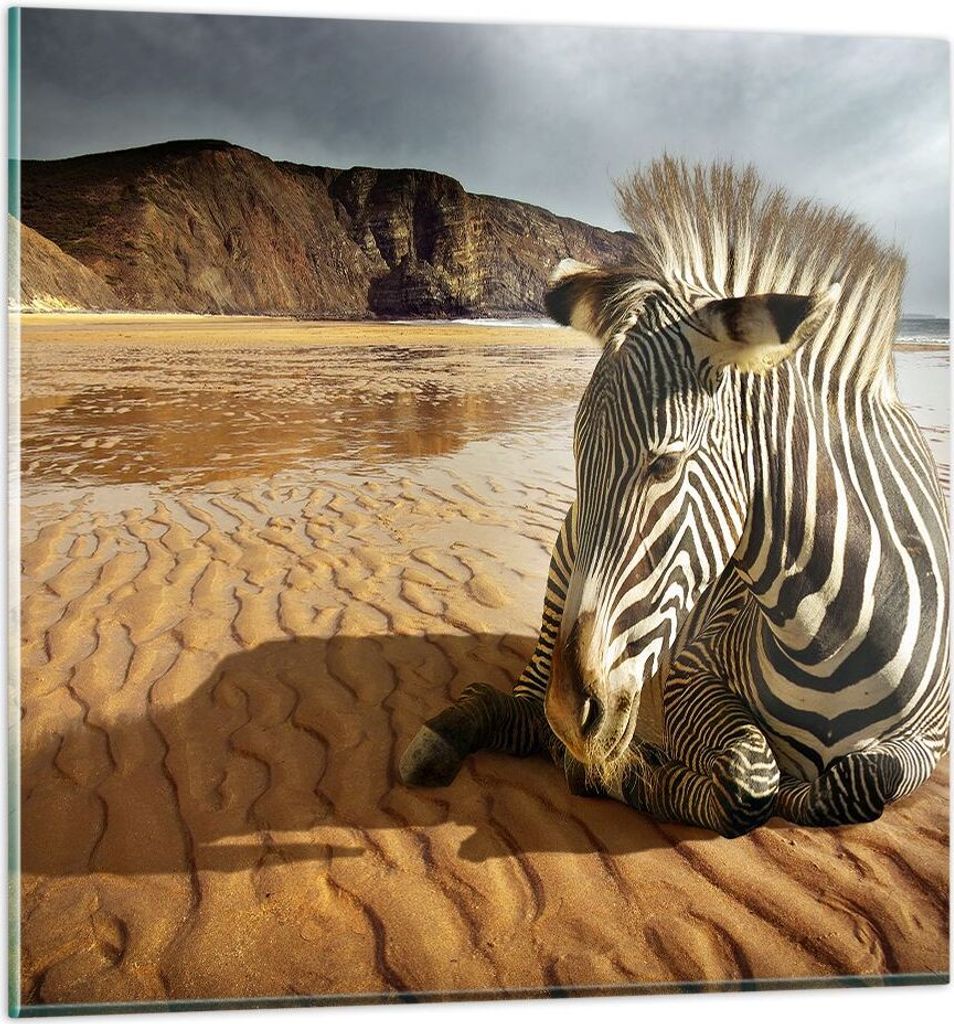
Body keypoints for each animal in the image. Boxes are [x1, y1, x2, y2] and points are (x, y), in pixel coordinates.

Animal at [400, 158, 950, 837]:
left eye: (664, 464)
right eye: (577, 457)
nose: (572, 715)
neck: (830, 636)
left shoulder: (932, 740)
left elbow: (860, 780)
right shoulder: (693, 670)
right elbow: (750, 781)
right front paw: (631, 774)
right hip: (563, 571)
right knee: (526, 708)